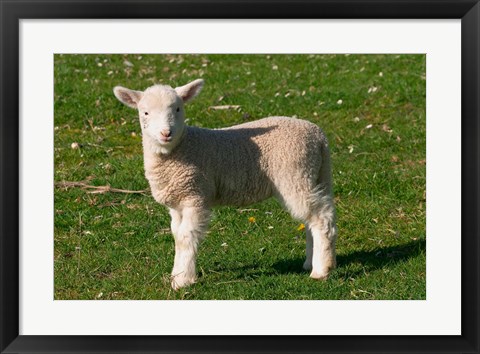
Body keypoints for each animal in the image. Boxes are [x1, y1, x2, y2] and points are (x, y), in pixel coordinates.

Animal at [112, 79, 338, 290]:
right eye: (145, 112)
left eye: (178, 109)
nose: (166, 133)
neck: (181, 147)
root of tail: (319, 137)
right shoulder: (177, 202)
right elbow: (177, 235)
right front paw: (177, 274)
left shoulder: (196, 195)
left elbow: (186, 237)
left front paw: (183, 280)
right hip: (316, 175)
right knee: (315, 217)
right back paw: (313, 262)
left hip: (295, 174)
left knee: (321, 219)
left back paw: (321, 270)